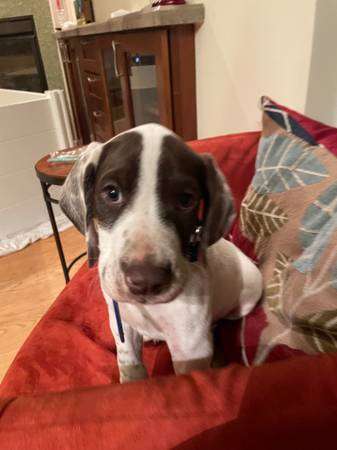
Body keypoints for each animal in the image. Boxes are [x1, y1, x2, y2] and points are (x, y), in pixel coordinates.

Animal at [59, 124, 262, 384]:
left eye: (186, 200)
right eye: (112, 192)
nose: (145, 280)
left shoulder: (190, 348)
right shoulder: (122, 326)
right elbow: (130, 367)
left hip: (245, 299)